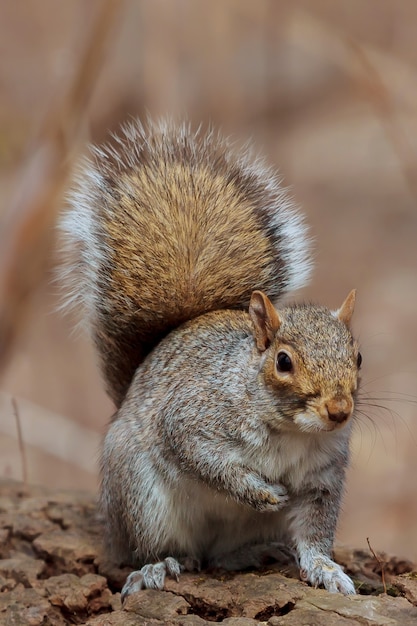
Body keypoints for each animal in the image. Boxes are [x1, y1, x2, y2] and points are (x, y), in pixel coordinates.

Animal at [59, 117, 360, 596]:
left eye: (359, 357)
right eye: (283, 361)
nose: (339, 411)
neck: (293, 431)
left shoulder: (322, 480)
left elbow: (315, 533)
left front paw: (326, 569)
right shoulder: (192, 418)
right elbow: (207, 461)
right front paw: (259, 492)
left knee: (218, 556)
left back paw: (252, 553)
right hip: (142, 499)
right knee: (170, 551)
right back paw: (158, 567)